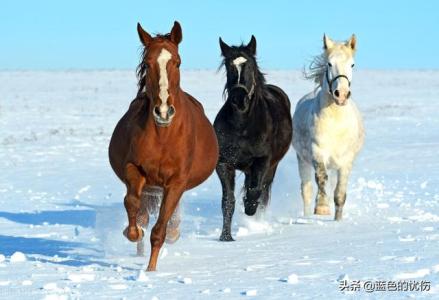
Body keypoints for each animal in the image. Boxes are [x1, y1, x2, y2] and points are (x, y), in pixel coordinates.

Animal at [108, 19, 218, 270]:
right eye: (147, 63)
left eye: (177, 62)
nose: (164, 111)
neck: (163, 136)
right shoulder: (135, 170)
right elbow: (132, 203)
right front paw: (133, 232)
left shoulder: (176, 182)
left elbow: (159, 230)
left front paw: (150, 271)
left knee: (170, 218)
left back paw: (173, 233)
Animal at [215, 35, 294, 241]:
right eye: (228, 66)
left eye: (249, 65)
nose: (238, 98)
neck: (242, 125)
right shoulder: (224, 164)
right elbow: (228, 201)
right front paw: (225, 237)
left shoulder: (262, 161)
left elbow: (254, 192)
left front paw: (249, 209)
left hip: (271, 166)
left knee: (263, 193)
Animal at [294, 34, 366, 220]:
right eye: (329, 63)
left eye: (352, 64)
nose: (341, 95)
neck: (336, 123)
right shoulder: (317, 152)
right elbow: (321, 177)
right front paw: (322, 208)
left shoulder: (346, 161)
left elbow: (340, 194)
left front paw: (337, 220)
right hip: (302, 159)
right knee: (306, 190)